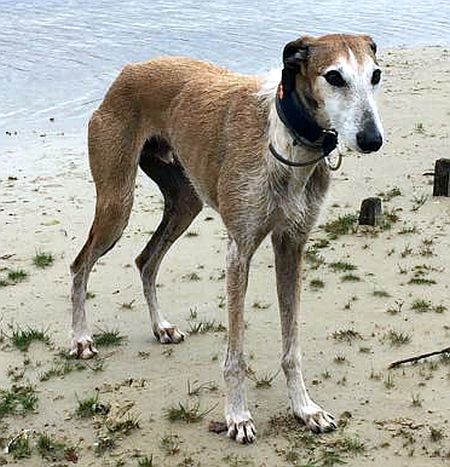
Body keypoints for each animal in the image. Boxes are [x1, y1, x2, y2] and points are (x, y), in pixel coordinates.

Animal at [70, 33, 383, 444]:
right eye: (334, 76)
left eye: (376, 75)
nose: (372, 139)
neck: (286, 142)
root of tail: (130, 70)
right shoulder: (239, 250)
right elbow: (235, 354)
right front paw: (237, 416)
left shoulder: (291, 245)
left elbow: (292, 347)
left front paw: (305, 409)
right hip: (116, 203)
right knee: (80, 264)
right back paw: (80, 338)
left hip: (185, 203)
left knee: (146, 260)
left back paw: (161, 327)